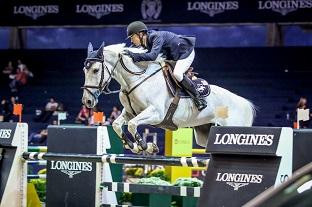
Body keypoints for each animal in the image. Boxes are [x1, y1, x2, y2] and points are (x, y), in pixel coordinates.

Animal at [81, 42, 256, 154]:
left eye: (96, 70)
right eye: (84, 70)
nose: (87, 101)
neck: (138, 79)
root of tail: (245, 103)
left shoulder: (156, 114)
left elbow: (132, 125)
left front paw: (146, 146)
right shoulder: (130, 112)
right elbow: (118, 125)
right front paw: (133, 146)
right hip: (205, 134)